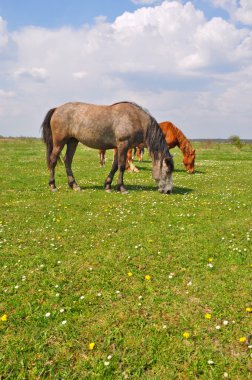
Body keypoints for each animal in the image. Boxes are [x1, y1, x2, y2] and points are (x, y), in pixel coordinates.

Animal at [41, 101, 175, 193]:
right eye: (167, 171)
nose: (168, 191)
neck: (135, 118)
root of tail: (57, 109)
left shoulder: (119, 148)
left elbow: (115, 166)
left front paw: (108, 186)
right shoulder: (123, 145)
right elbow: (121, 166)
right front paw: (122, 188)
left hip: (72, 141)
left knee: (67, 161)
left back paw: (74, 185)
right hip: (59, 142)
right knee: (53, 160)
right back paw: (53, 186)